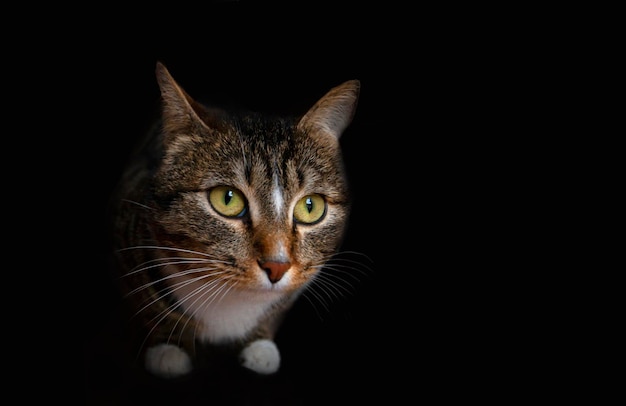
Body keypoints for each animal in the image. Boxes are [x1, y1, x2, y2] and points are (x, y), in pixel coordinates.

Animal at [109, 61, 358, 380]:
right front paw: (168, 349)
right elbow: (149, 304)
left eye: (310, 207)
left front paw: (259, 346)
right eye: (227, 199)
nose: (277, 266)